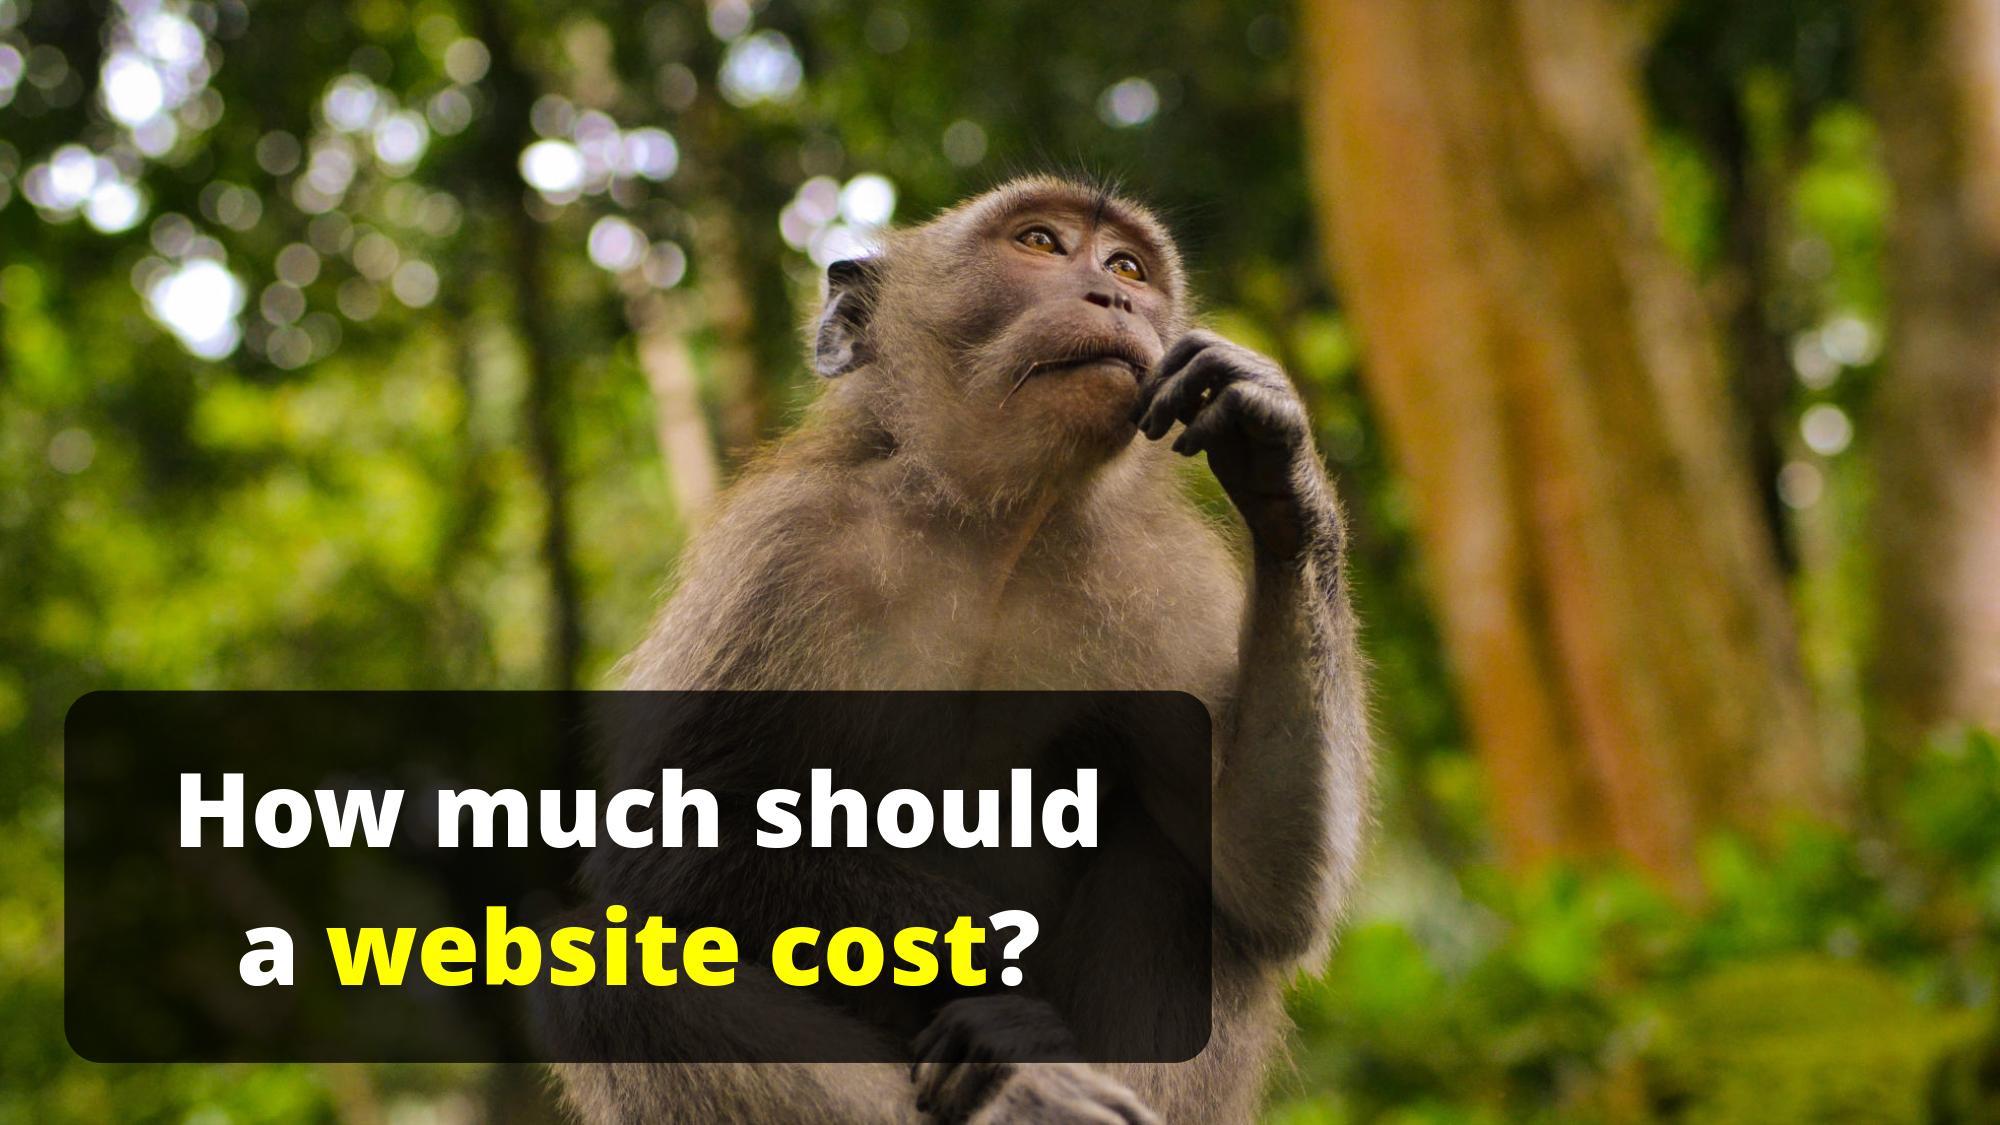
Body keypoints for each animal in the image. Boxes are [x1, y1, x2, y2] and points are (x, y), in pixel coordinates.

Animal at [550, 175, 1372, 1124]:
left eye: (1129, 266)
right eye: (1041, 243)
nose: (1116, 296)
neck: (992, 529)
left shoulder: (1166, 585)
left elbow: (1262, 878)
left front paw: (1277, 458)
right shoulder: (779, 555)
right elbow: (668, 853)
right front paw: (1016, 1033)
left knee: (1179, 861)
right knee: (605, 971)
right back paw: (1029, 1092)